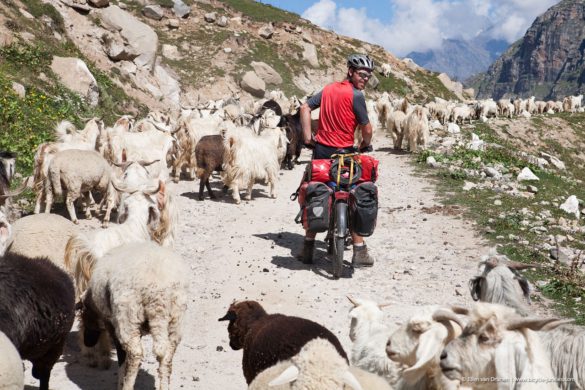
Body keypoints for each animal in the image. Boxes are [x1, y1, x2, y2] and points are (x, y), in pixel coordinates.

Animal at [78, 242, 188, 390]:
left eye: (85, 319)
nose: (87, 342)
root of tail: (158, 295)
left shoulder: (113, 324)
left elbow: (122, 357)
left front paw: (120, 381)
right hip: (176, 320)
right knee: (166, 358)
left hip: (127, 317)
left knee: (135, 355)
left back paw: (127, 385)